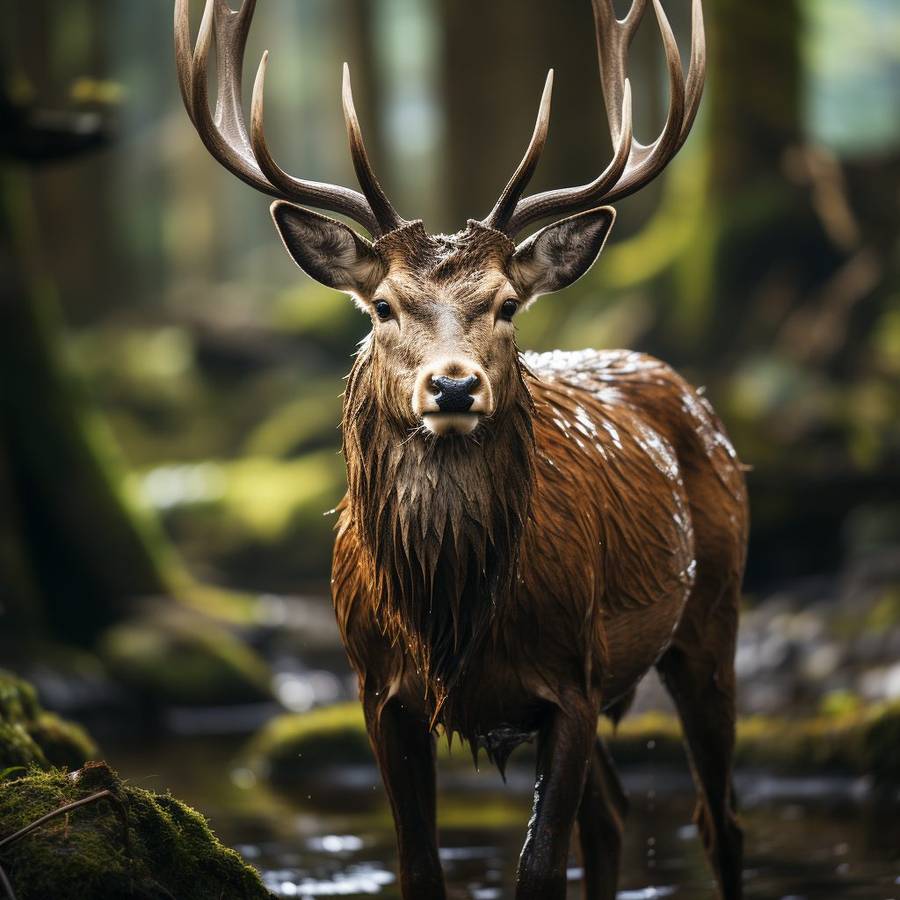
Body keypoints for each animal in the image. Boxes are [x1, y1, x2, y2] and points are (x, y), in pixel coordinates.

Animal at [175, 1, 748, 897]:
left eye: (507, 304)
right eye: (382, 305)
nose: (451, 388)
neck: (447, 622)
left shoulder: (570, 682)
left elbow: (539, 869)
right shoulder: (378, 691)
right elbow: (419, 867)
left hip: (713, 611)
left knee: (719, 820)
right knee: (614, 816)